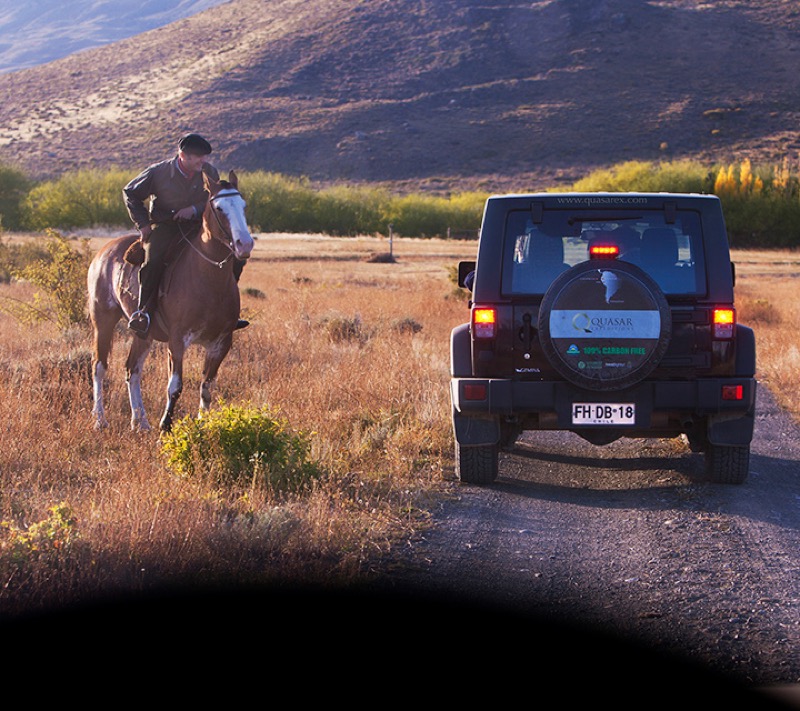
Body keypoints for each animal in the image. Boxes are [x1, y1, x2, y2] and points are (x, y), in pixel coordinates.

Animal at [86, 171, 253, 434]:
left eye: (243, 205)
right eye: (219, 207)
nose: (244, 244)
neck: (207, 279)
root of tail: (104, 252)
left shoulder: (221, 343)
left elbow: (206, 388)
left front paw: (203, 426)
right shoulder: (177, 340)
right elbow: (175, 386)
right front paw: (166, 425)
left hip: (143, 333)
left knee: (132, 369)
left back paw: (140, 421)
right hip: (102, 321)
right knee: (99, 367)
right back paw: (100, 419)